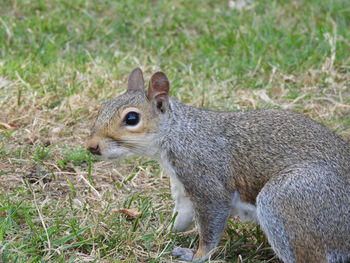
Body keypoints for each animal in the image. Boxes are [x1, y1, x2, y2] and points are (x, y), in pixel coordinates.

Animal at [87, 68, 350, 263]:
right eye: (103, 107)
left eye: (132, 118)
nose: (91, 146)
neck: (177, 133)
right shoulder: (183, 187)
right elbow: (180, 218)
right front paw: (158, 232)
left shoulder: (205, 179)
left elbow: (211, 223)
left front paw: (196, 255)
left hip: (289, 200)